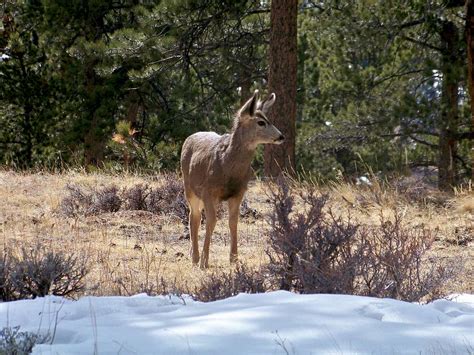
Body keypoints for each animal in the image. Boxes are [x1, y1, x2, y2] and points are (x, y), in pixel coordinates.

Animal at [180, 90, 284, 268]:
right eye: (261, 122)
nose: (281, 136)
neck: (227, 167)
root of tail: (189, 137)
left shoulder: (238, 193)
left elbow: (233, 222)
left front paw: (234, 258)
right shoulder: (208, 191)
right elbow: (212, 221)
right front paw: (204, 261)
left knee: (195, 216)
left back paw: (192, 253)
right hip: (189, 187)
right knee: (195, 216)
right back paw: (195, 257)